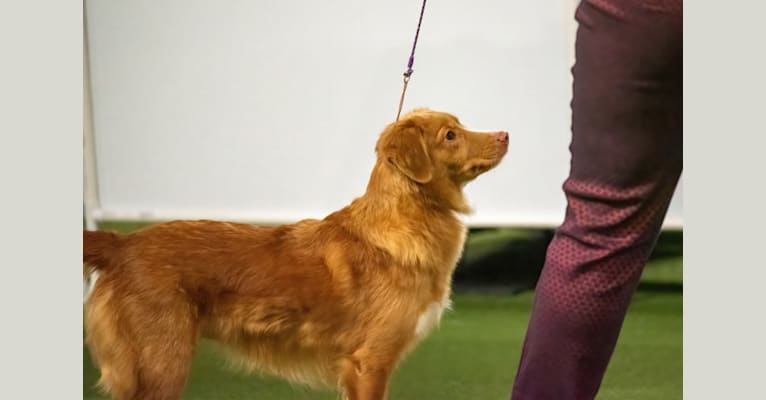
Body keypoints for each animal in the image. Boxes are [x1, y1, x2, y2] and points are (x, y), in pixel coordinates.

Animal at [84, 109, 510, 400]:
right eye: (450, 135)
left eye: (459, 125)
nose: (505, 133)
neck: (408, 216)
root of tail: (121, 243)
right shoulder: (370, 362)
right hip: (163, 363)